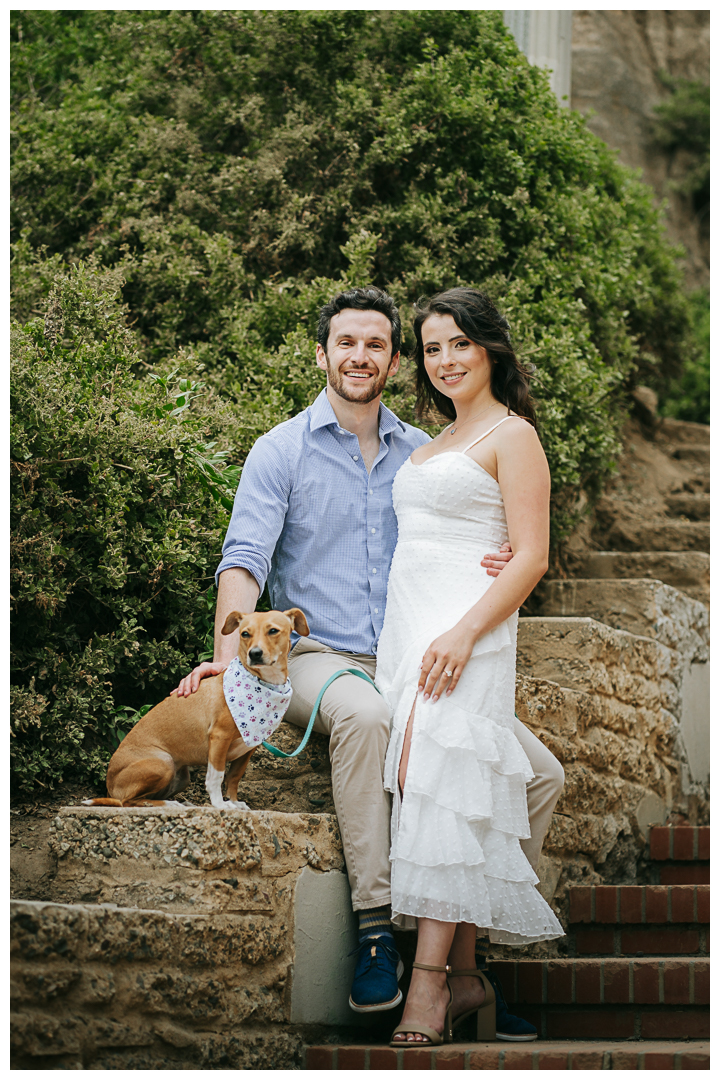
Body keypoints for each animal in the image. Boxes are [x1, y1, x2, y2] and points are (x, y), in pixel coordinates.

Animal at [84, 609, 310, 812]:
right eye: (245, 633)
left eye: (273, 631)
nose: (254, 654)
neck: (264, 684)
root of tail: (110, 787)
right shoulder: (219, 738)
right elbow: (216, 776)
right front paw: (221, 805)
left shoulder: (249, 748)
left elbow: (234, 777)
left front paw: (234, 802)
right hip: (162, 762)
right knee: (129, 801)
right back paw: (170, 804)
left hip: (181, 776)